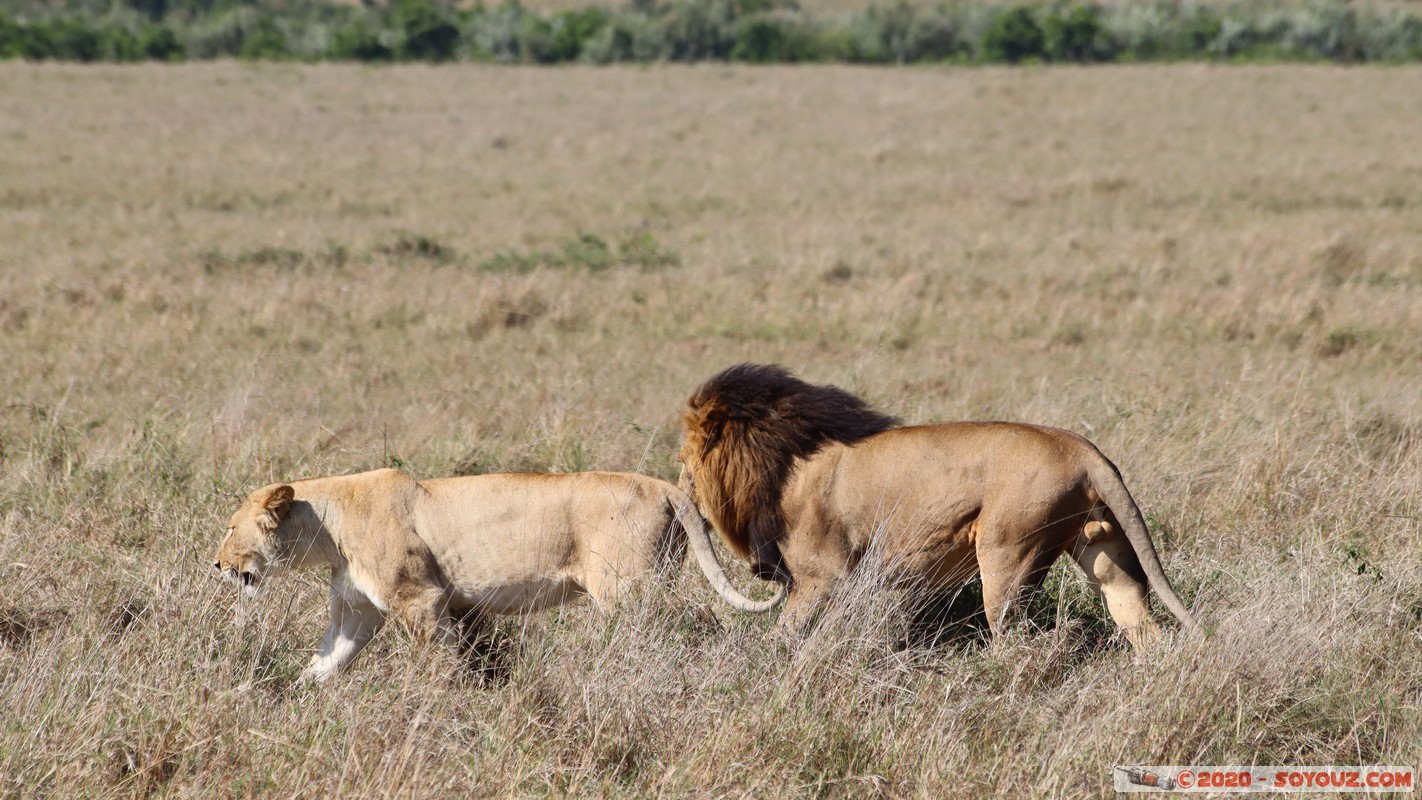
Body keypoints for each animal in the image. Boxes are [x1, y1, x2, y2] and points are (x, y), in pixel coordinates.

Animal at [210, 468, 779, 682]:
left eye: (231, 527)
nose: (215, 564)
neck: (328, 528)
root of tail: (663, 485)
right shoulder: (357, 613)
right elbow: (326, 660)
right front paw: (286, 695)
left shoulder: (422, 598)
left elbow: (440, 663)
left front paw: (443, 704)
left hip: (628, 592)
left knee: (683, 628)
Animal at [674, 366, 1200, 647]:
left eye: (682, 462)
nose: (677, 490)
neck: (782, 461)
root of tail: (1086, 452)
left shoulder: (825, 576)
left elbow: (790, 634)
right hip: (1102, 543)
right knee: (1135, 612)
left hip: (1008, 554)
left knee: (1013, 638)